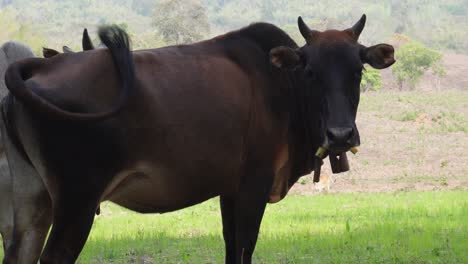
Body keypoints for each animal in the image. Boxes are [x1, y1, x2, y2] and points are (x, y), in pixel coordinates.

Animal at [3, 15, 394, 262]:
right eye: (310, 71)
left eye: (357, 71)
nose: (341, 134)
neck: (283, 86)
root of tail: (41, 65)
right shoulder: (253, 184)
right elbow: (244, 249)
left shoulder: (229, 190)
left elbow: (231, 249)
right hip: (76, 203)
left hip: (34, 204)